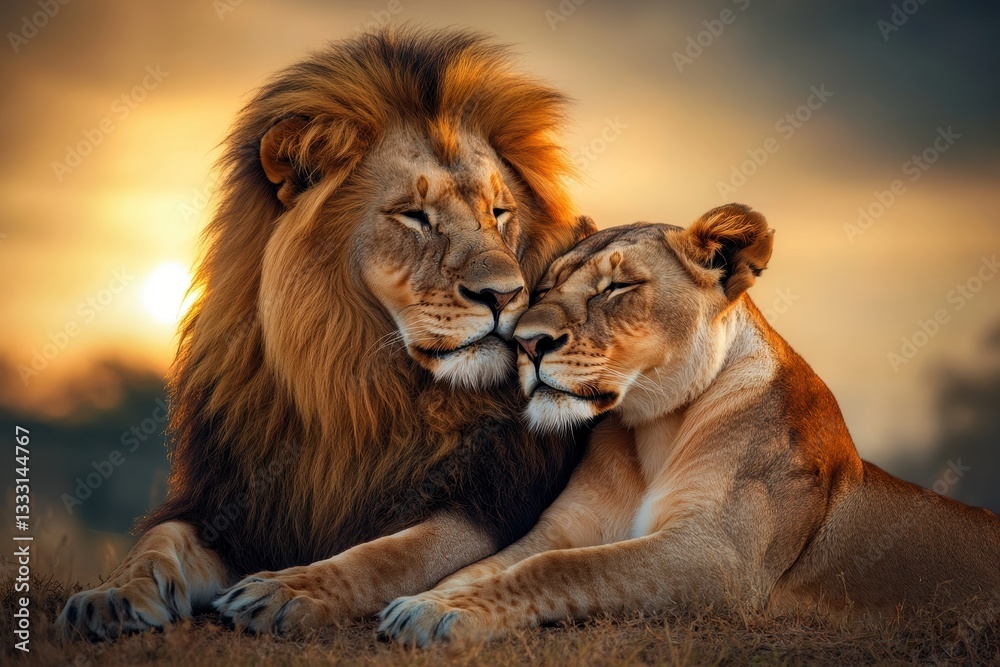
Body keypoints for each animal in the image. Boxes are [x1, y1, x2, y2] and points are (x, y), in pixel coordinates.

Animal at [57, 28, 595, 639]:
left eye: (500, 212)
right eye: (413, 216)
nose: (505, 295)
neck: (360, 387)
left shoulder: (494, 503)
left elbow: (391, 554)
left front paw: (290, 590)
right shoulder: (228, 503)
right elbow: (156, 542)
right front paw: (109, 596)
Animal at [380, 204, 1000, 646]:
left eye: (617, 287)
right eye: (546, 286)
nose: (526, 343)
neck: (654, 430)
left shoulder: (719, 559)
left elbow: (560, 570)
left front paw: (445, 616)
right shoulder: (563, 527)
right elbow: (487, 567)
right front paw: (427, 605)